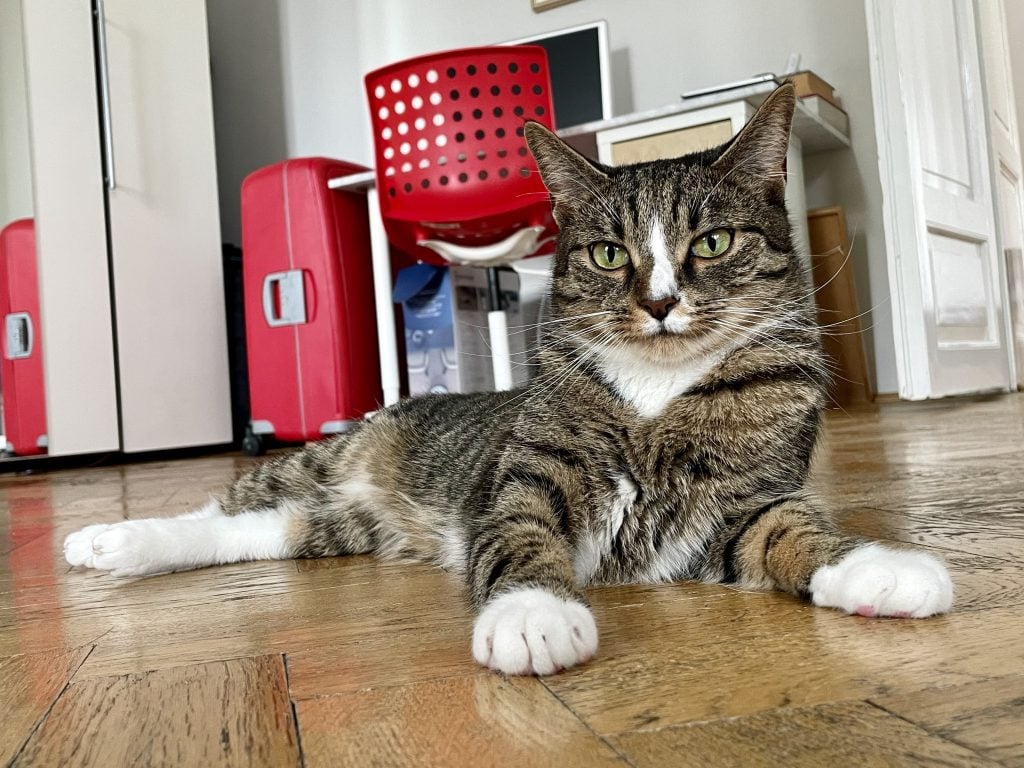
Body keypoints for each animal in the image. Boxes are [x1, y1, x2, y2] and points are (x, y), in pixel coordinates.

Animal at [68, 83, 954, 671]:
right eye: (609, 253)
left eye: (710, 243)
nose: (660, 303)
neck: (658, 392)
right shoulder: (528, 481)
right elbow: (523, 537)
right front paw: (534, 614)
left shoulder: (746, 501)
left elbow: (790, 532)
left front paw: (876, 567)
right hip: (326, 460)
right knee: (226, 503)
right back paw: (100, 537)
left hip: (335, 525)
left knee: (260, 530)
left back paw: (120, 548)